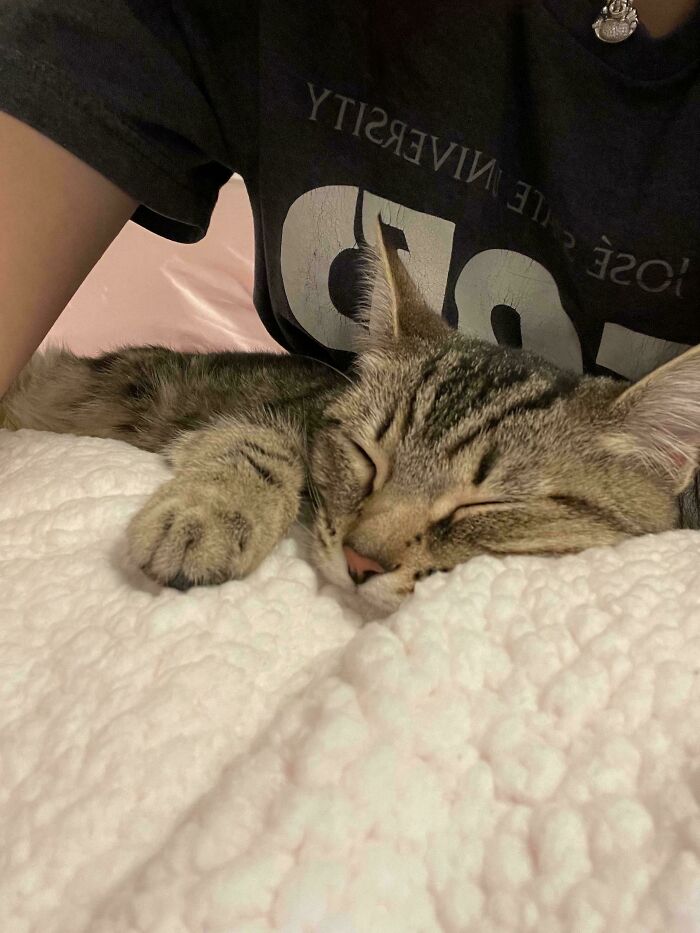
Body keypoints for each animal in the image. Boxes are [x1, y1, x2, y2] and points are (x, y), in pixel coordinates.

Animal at [1, 228, 700, 612]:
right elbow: (257, 445)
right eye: (366, 458)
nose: (362, 561)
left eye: (484, 505)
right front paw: (207, 514)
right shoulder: (276, 412)